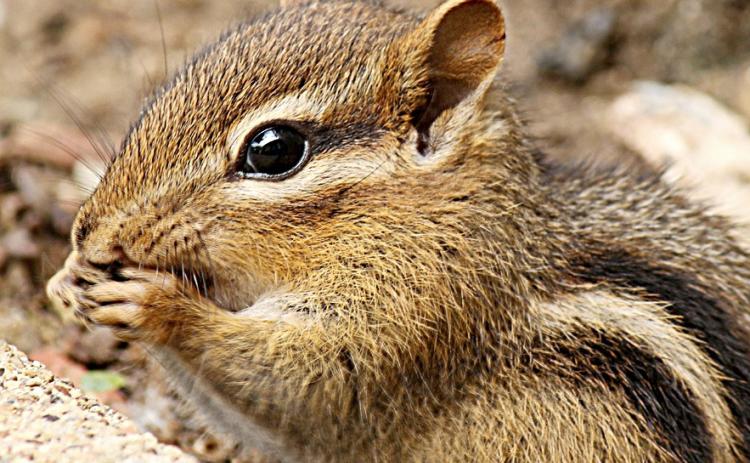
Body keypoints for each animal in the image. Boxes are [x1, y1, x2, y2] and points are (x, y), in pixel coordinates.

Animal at [45, 0, 750, 461]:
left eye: (273, 150)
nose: (90, 232)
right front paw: (65, 281)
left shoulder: (420, 311)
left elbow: (310, 382)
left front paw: (155, 304)